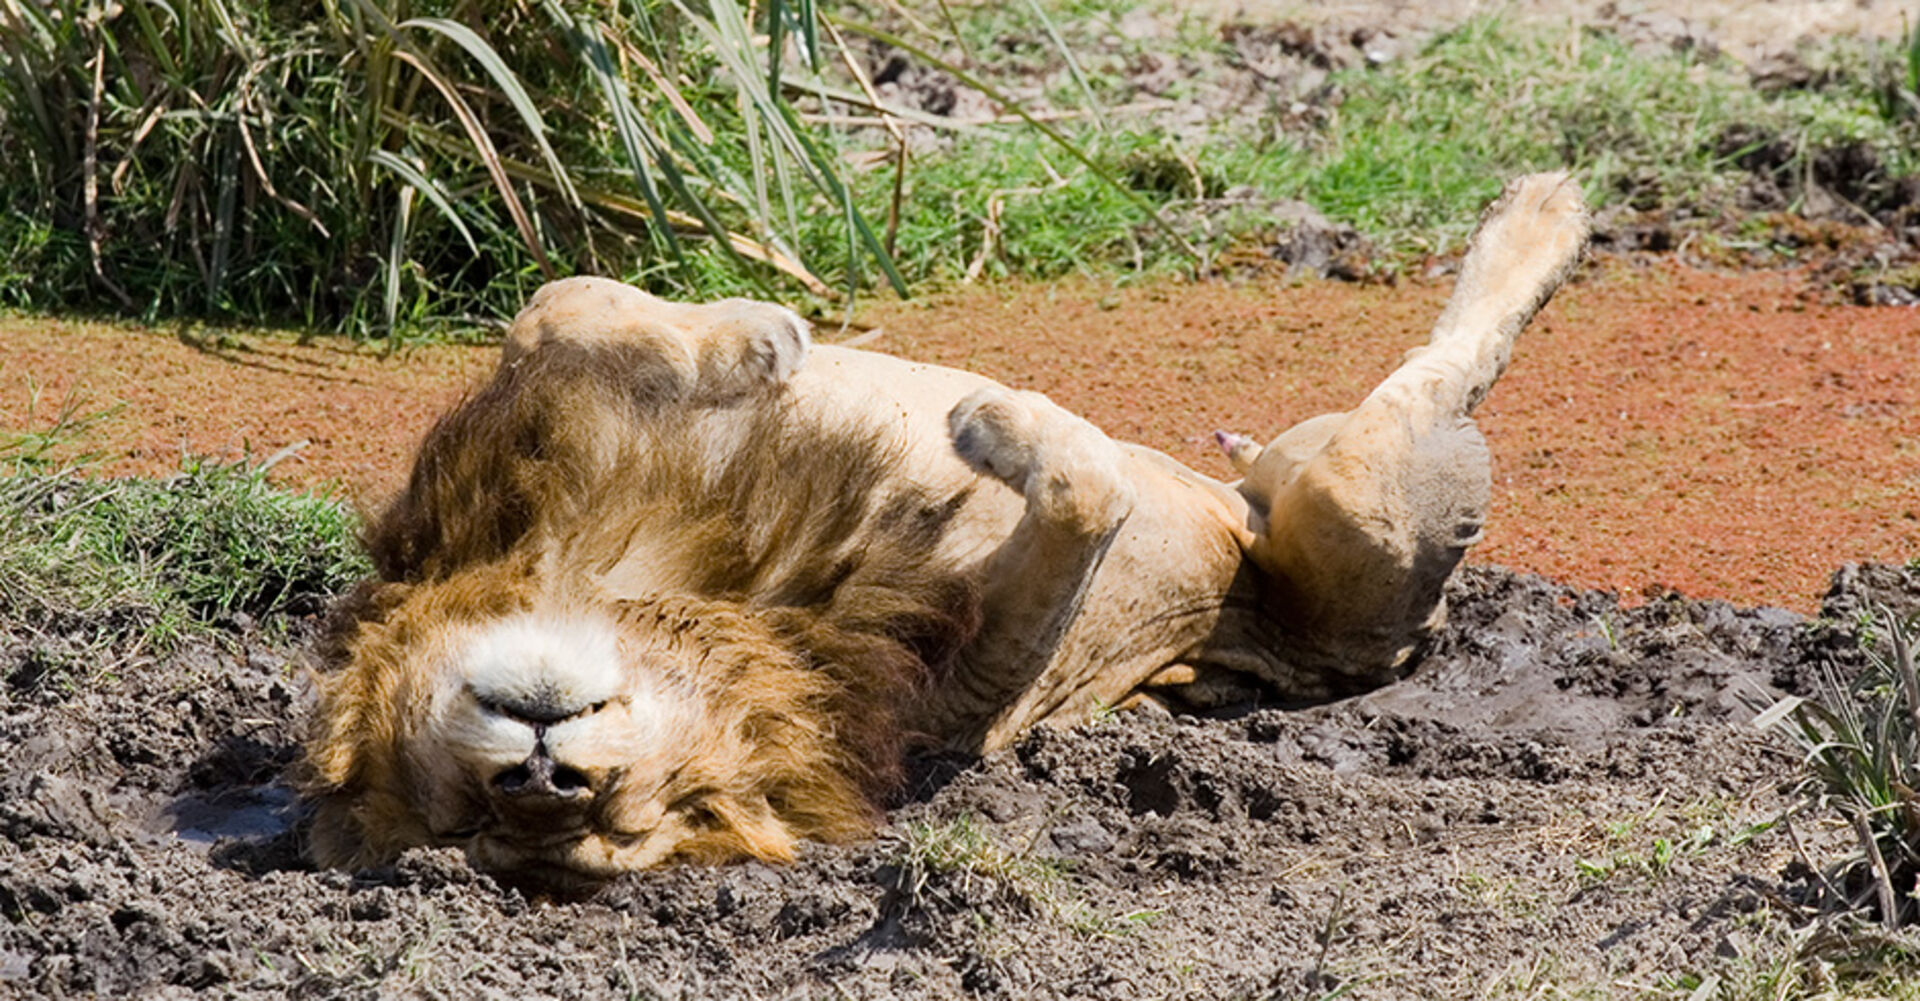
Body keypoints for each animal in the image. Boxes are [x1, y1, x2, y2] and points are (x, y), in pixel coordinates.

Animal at [304, 173, 1588, 887]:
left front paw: (752, 338)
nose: (544, 779)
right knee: (1443, 373)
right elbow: (1087, 491)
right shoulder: (960, 688)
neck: (626, 572)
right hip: (1359, 507)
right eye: (482, 819)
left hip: (1305, 477)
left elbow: (554, 300)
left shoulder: (522, 440)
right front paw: (992, 422)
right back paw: (1545, 213)